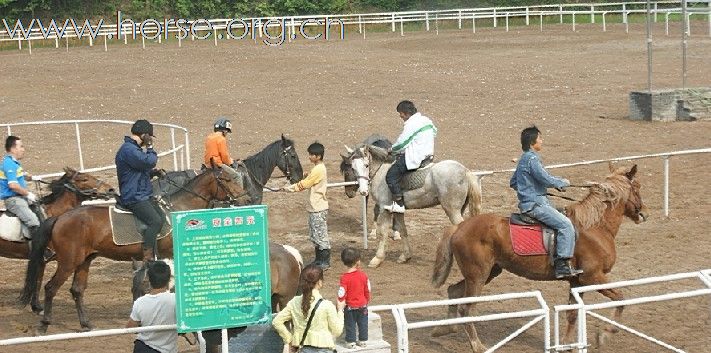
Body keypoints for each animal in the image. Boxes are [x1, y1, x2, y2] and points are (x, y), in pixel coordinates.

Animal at [1, 166, 114, 312]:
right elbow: (37, 281)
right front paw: (36, 307)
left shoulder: (41, 261)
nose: (110, 189)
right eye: (84, 179)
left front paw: (36, 306)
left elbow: (38, 281)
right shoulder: (41, 258)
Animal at [20, 164, 248, 332]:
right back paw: (45, 324)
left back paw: (86, 324)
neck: (177, 209)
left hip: (84, 260)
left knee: (77, 290)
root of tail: (60, 218)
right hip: (69, 261)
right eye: (228, 180)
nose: (245, 200)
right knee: (50, 288)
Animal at [344, 142, 484, 266]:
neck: (382, 171)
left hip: (452, 211)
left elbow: (383, 232)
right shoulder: (398, 210)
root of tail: (465, 171)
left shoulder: (385, 208)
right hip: (459, 209)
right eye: (353, 167)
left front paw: (377, 259)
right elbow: (403, 230)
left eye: (366, 165)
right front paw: (405, 256)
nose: (363, 191)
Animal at [432, 164, 648, 350]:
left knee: (453, 291)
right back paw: (476, 345)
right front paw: (604, 335)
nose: (644, 214)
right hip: (478, 276)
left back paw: (444, 329)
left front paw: (567, 344)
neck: (594, 227)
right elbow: (620, 299)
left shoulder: (577, 282)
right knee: (466, 309)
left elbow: (572, 314)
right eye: (637, 188)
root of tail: (459, 226)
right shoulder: (593, 277)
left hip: (488, 272)